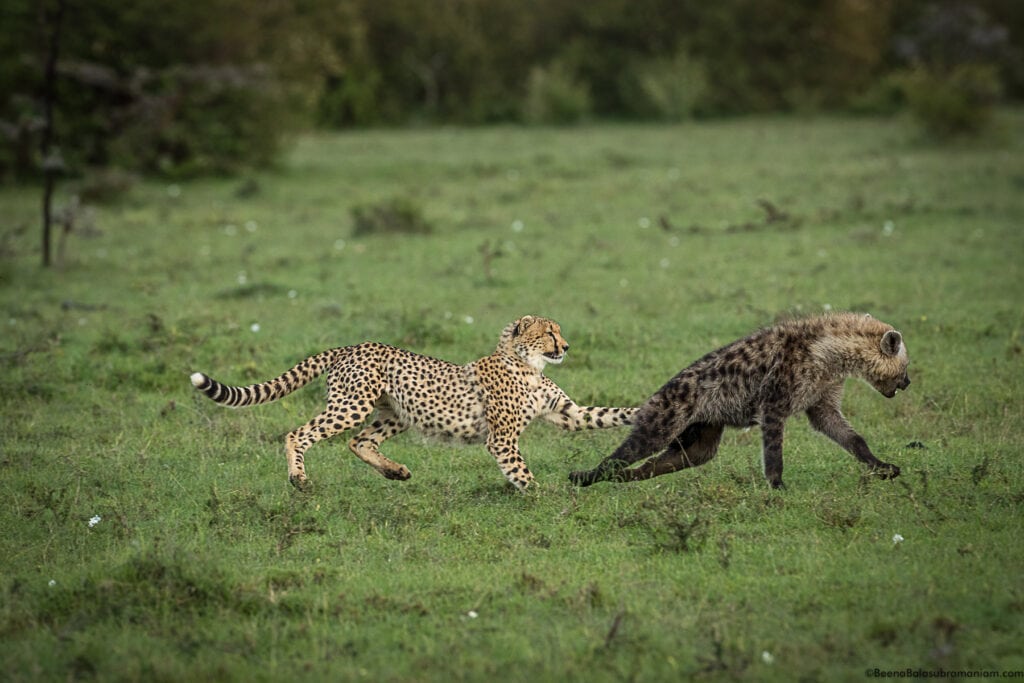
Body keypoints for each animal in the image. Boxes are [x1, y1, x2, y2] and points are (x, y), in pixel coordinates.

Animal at [189, 315, 634, 491]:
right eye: (548, 333)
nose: (566, 346)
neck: (527, 363)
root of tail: (351, 346)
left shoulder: (567, 413)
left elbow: (605, 414)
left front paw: (642, 411)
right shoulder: (502, 439)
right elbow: (521, 472)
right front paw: (544, 496)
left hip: (397, 413)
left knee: (359, 441)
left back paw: (395, 472)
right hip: (352, 404)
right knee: (299, 433)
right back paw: (298, 478)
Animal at [569, 315, 913, 491]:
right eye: (906, 366)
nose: (908, 382)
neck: (828, 354)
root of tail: (654, 397)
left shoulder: (823, 399)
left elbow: (851, 437)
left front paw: (885, 468)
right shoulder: (774, 400)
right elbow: (773, 449)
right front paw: (777, 486)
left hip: (702, 434)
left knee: (672, 459)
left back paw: (621, 479)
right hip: (664, 420)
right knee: (628, 452)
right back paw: (583, 477)